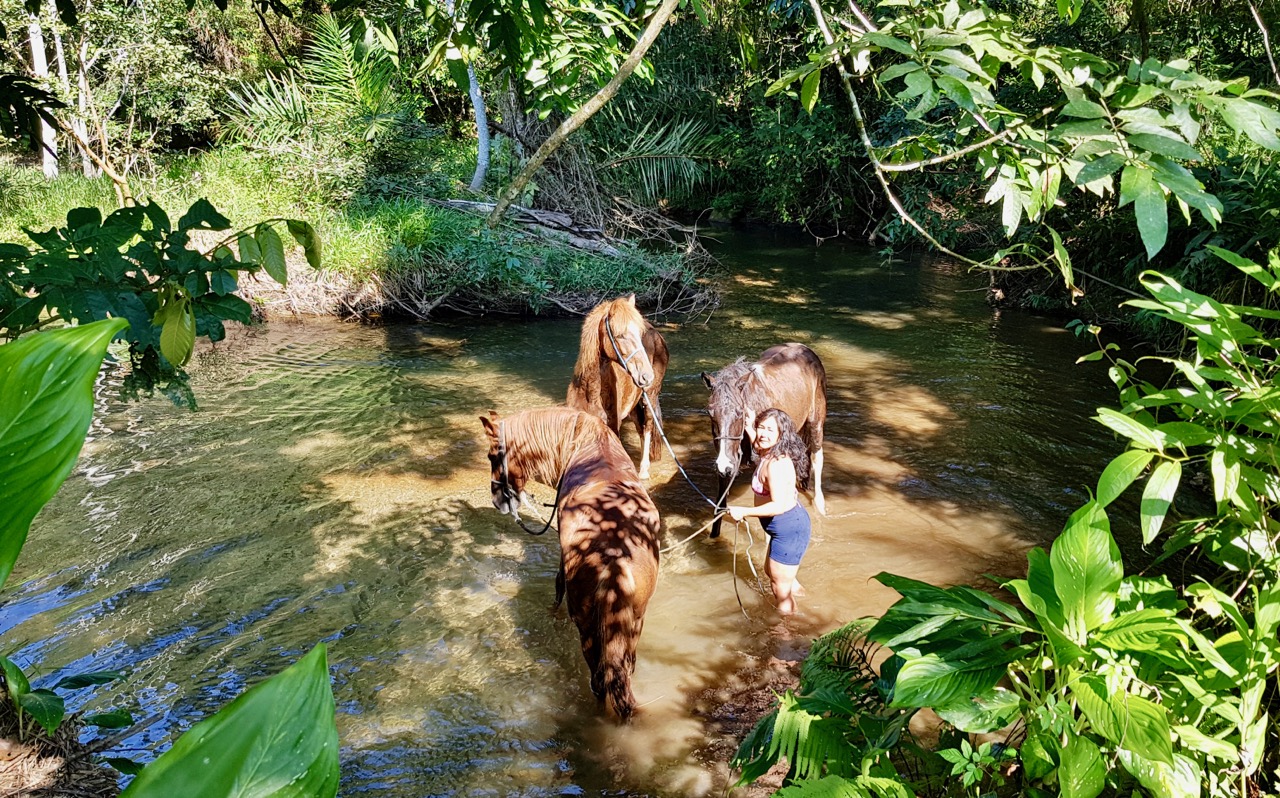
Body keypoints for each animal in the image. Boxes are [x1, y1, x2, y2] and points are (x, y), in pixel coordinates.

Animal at [479, 406, 661, 722]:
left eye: (493, 456)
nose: (496, 499)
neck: (585, 444)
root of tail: (615, 557)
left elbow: (557, 586)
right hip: (635, 622)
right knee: (624, 670)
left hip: (588, 628)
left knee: (599, 681)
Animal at [566, 294, 668, 480]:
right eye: (620, 335)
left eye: (639, 334)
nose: (646, 375)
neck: (590, 393)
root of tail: (657, 334)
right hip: (634, 405)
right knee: (640, 428)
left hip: (650, 396)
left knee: (648, 426)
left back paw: (643, 470)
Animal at [700, 342, 828, 538]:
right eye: (710, 412)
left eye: (740, 412)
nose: (723, 464)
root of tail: (804, 348)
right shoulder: (726, 468)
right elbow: (720, 508)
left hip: (816, 421)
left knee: (816, 457)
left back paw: (819, 505)